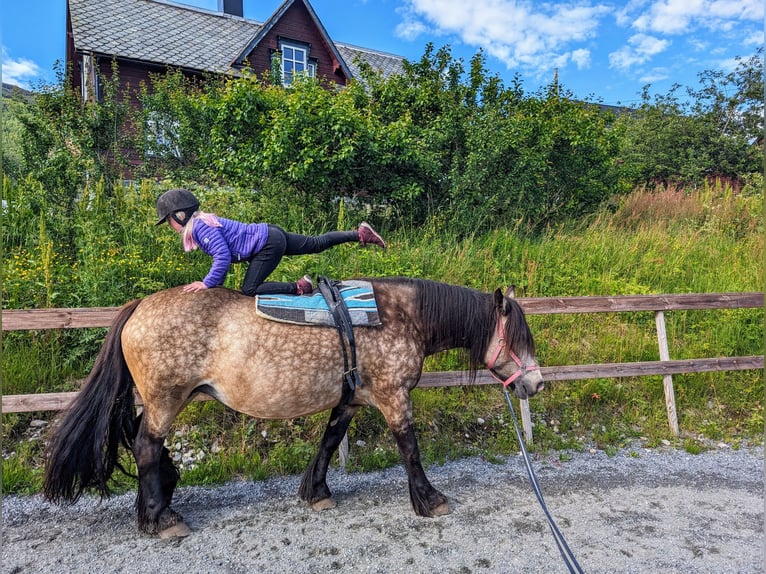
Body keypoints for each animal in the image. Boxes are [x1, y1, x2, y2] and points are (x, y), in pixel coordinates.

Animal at [43, 280, 544, 540]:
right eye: (517, 337)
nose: (536, 383)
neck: (404, 316)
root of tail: (138, 307)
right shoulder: (394, 397)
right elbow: (410, 449)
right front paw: (429, 499)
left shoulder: (350, 400)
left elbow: (329, 442)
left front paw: (316, 491)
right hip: (167, 398)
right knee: (146, 446)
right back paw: (162, 517)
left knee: (136, 438)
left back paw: (158, 501)